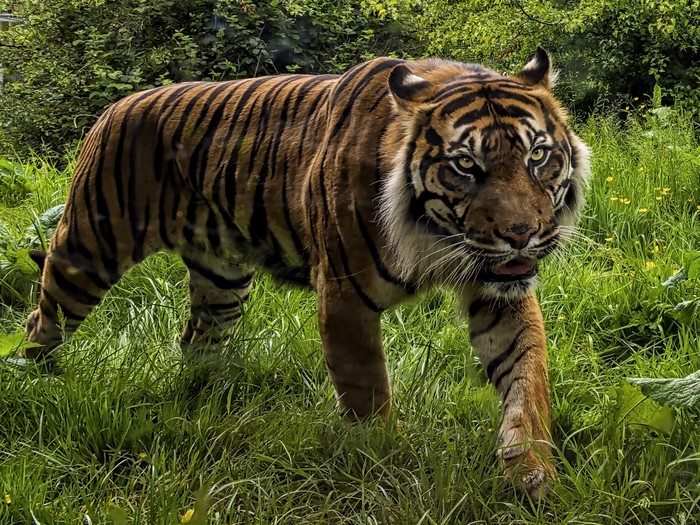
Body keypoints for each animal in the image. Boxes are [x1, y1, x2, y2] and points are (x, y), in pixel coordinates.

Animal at [24, 47, 590, 498]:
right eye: (466, 166)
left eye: (538, 156)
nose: (522, 234)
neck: (434, 238)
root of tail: (117, 105)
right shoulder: (344, 297)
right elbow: (367, 391)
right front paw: (387, 466)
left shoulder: (500, 292)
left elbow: (527, 382)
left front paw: (532, 473)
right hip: (87, 249)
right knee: (42, 318)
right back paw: (40, 387)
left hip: (223, 280)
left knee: (197, 340)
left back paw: (214, 406)